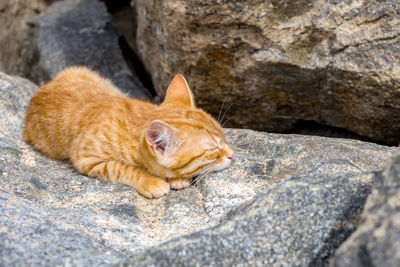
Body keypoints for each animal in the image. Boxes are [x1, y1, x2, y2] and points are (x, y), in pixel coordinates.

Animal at [23, 66, 233, 198]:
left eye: (224, 137)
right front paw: (151, 181)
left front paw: (178, 178)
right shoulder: (86, 159)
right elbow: (121, 168)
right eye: (213, 149)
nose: (232, 155)